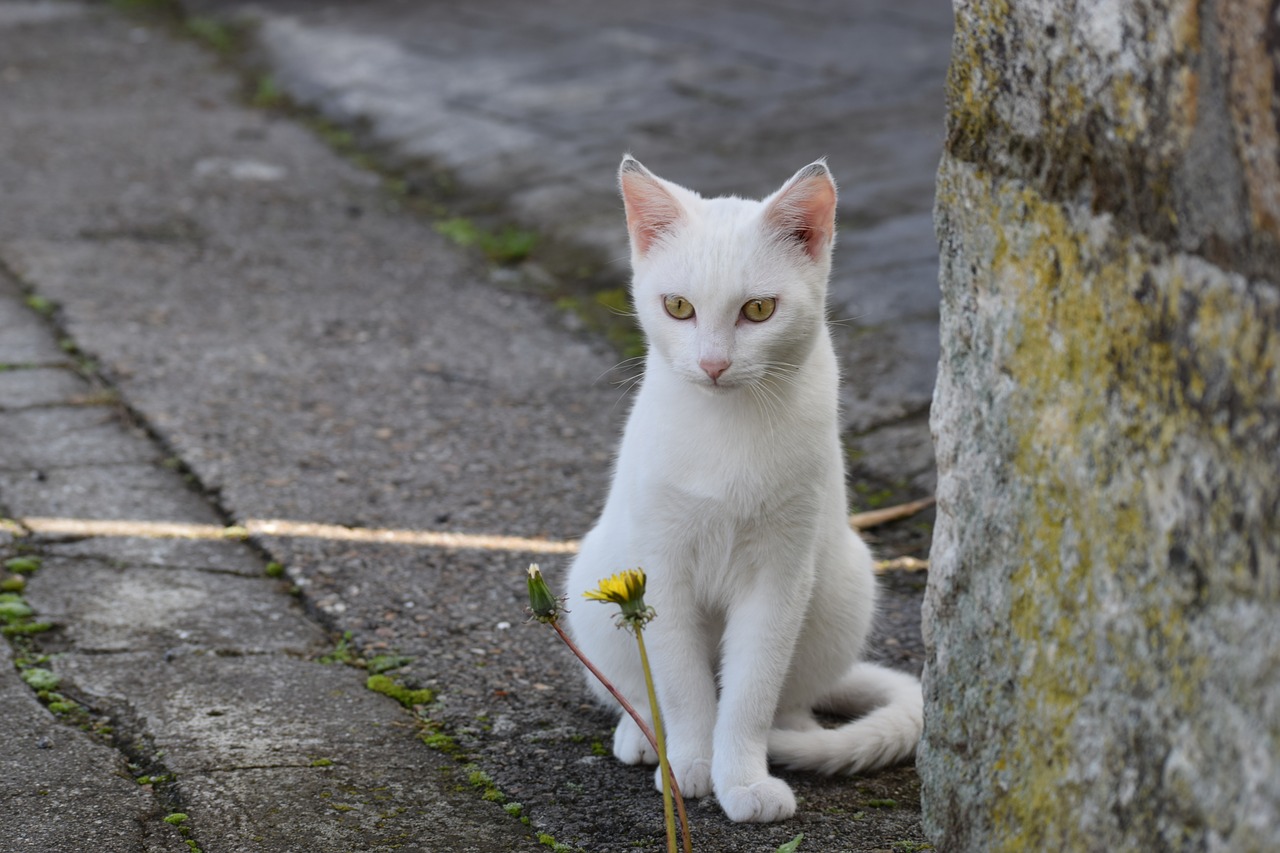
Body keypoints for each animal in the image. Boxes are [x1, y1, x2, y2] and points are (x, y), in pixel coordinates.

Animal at [565, 156, 926, 819]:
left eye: (758, 310)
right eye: (677, 305)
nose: (713, 364)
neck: (728, 425)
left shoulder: (780, 575)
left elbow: (752, 688)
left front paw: (743, 778)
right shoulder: (662, 571)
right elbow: (682, 688)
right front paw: (690, 765)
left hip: (842, 586)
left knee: (788, 695)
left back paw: (797, 735)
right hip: (595, 579)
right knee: (633, 686)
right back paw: (644, 734)